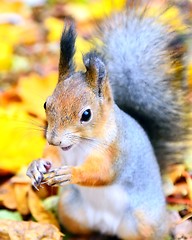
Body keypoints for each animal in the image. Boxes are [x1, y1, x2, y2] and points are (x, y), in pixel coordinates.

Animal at [26, 2, 191, 240]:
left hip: (145, 221)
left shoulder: (116, 152)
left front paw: (72, 173)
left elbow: (102, 173)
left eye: (86, 115)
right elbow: (51, 157)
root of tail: (108, 226)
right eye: (46, 104)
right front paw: (37, 166)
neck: (79, 146)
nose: (54, 139)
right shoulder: (60, 152)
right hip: (71, 210)